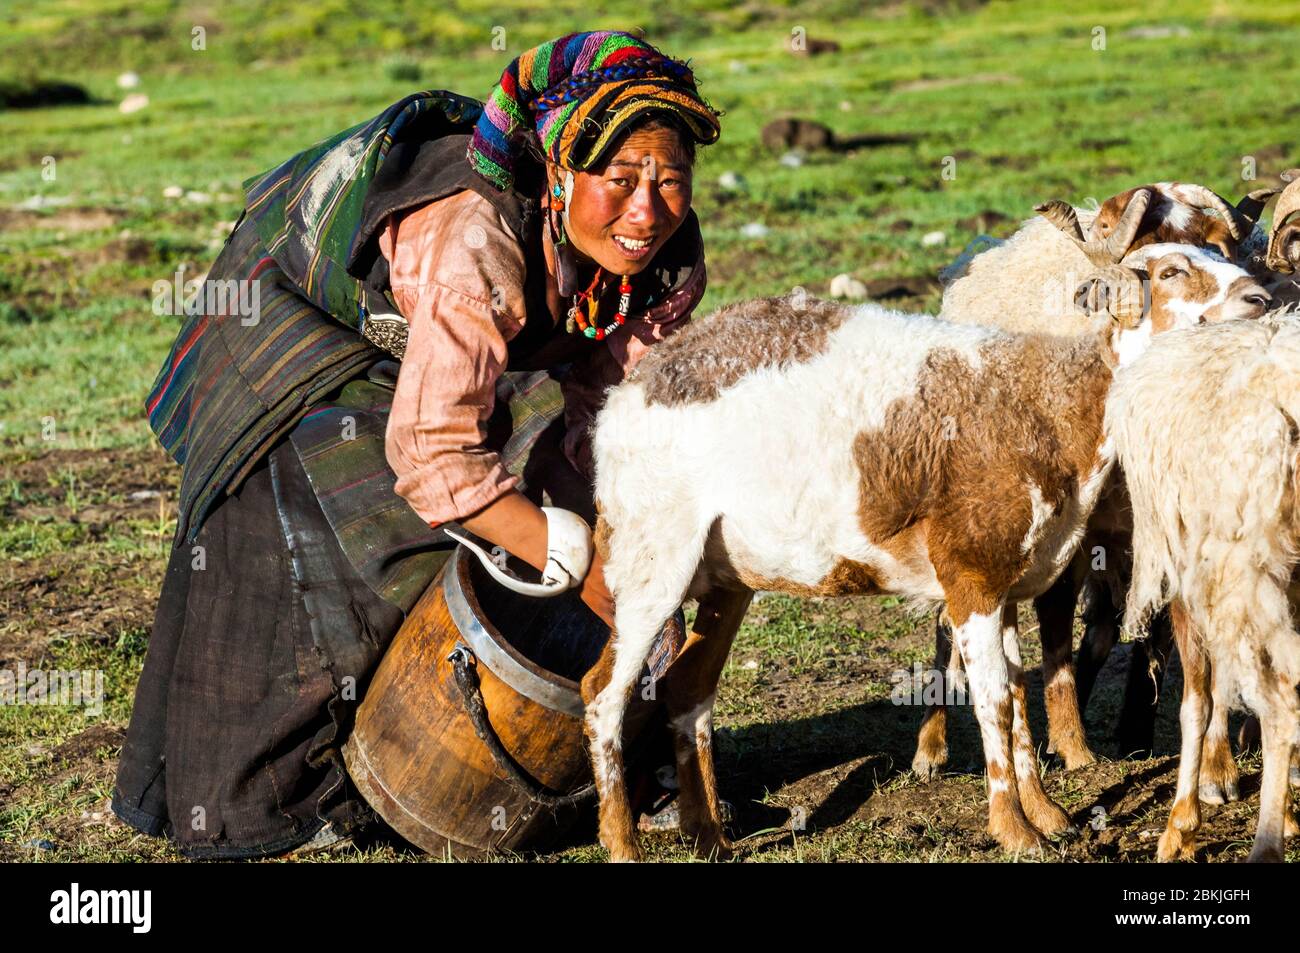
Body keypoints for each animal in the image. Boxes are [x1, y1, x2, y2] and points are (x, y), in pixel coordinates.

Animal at [582, 239, 1268, 863]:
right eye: (1171, 272)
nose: (1259, 300)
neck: (1054, 405)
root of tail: (631, 387)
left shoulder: (1009, 580)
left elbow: (1017, 694)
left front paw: (1048, 815)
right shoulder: (972, 575)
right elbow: (993, 702)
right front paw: (1016, 831)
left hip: (725, 572)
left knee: (687, 690)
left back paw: (710, 839)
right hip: (651, 551)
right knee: (604, 693)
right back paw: (621, 844)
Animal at [920, 184, 1274, 780]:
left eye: (1220, 247)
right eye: (1165, 266)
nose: (1258, 299)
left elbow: (1169, 636)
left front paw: (1193, 753)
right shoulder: (1066, 528)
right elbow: (1056, 635)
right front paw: (1070, 744)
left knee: (1107, 629)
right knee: (951, 619)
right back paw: (932, 743)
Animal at [1102, 314, 1300, 863]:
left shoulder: (1188, 582)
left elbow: (1197, 704)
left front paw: (1180, 823)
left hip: (1249, 568)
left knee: (1280, 706)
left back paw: (1265, 845)